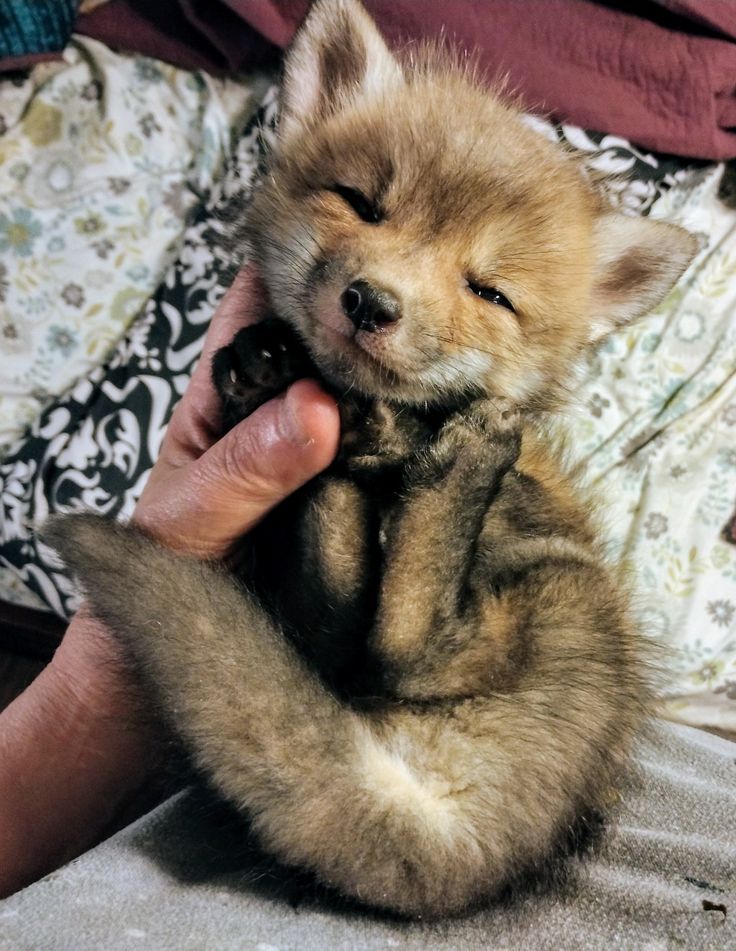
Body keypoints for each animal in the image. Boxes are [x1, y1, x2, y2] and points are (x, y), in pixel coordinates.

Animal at [46, 0, 698, 919]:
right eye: (361, 203)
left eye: (490, 291)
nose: (371, 304)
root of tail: (468, 852)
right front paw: (267, 374)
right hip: (353, 639)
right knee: (358, 617)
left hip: (553, 585)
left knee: (416, 642)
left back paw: (453, 456)